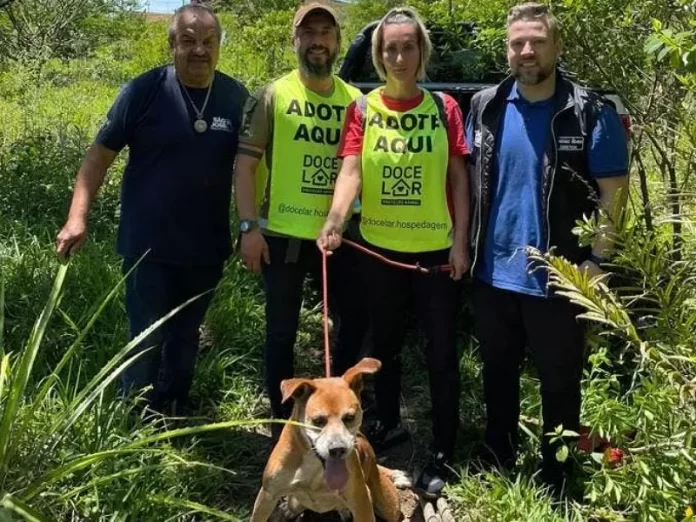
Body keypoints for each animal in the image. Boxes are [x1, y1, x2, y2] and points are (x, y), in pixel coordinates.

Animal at [250, 358, 402, 520]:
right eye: (318, 420)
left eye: (349, 417)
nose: (338, 450)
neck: (313, 463)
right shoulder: (267, 496)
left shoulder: (361, 503)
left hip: (388, 506)